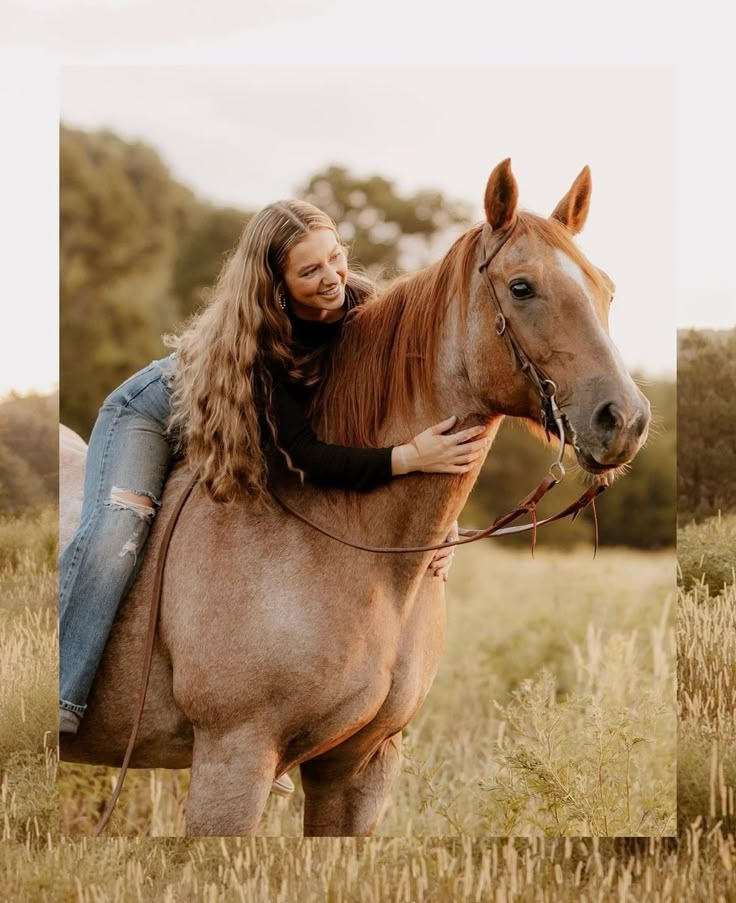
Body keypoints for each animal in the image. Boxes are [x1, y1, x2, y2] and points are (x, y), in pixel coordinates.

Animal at [61, 159, 648, 836]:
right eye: (522, 287)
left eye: (607, 289)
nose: (624, 419)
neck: (354, 546)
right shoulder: (231, 761)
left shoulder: (359, 769)